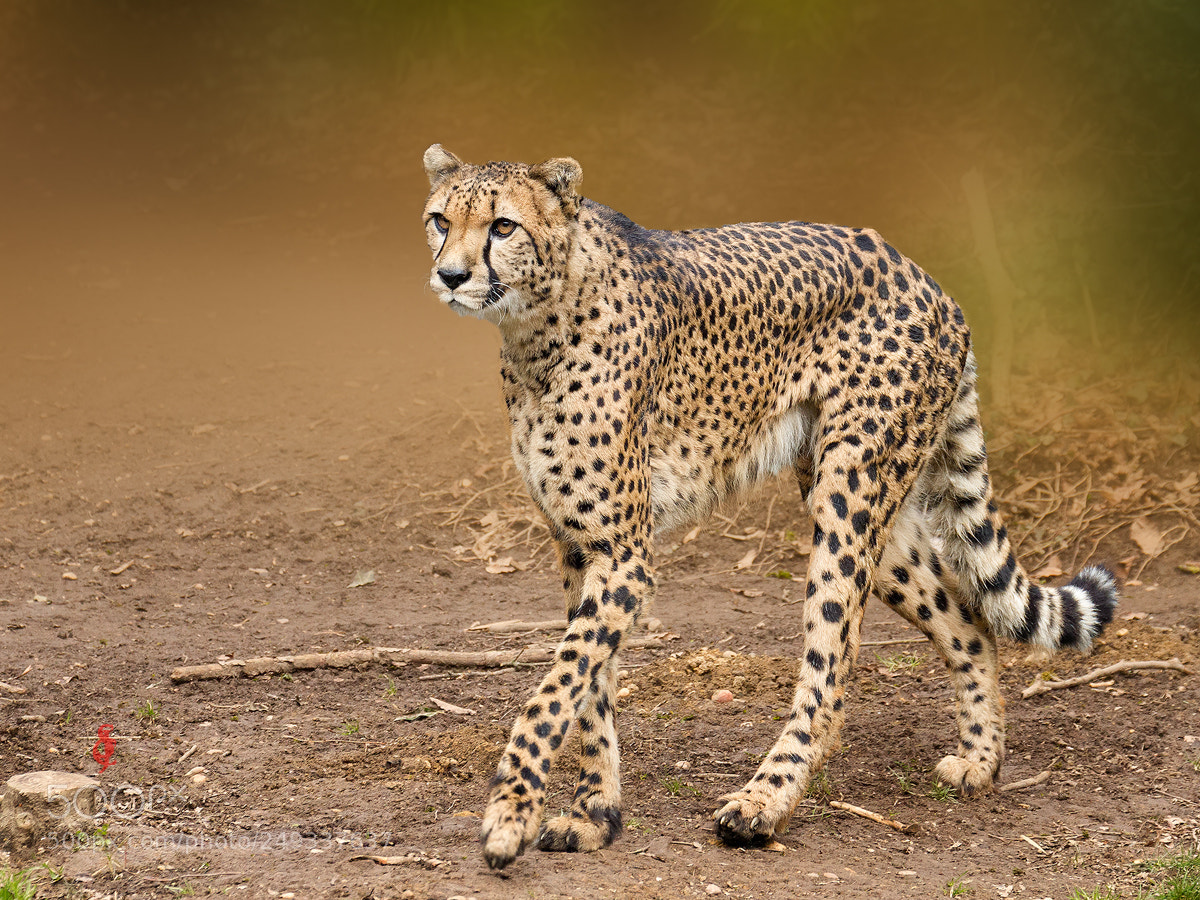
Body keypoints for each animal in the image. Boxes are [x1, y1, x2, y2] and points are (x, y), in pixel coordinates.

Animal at [420, 144, 1118, 870]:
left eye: (502, 226)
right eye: (440, 220)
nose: (450, 274)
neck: (537, 325)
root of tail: (924, 276)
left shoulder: (625, 557)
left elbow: (554, 689)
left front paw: (510, 814)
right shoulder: (580, 547)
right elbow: (589, 689)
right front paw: (594, 815)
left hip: (850, 490)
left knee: (833, 665)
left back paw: (764, 803)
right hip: (863, 501)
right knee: (971, 621)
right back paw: (981, 759)